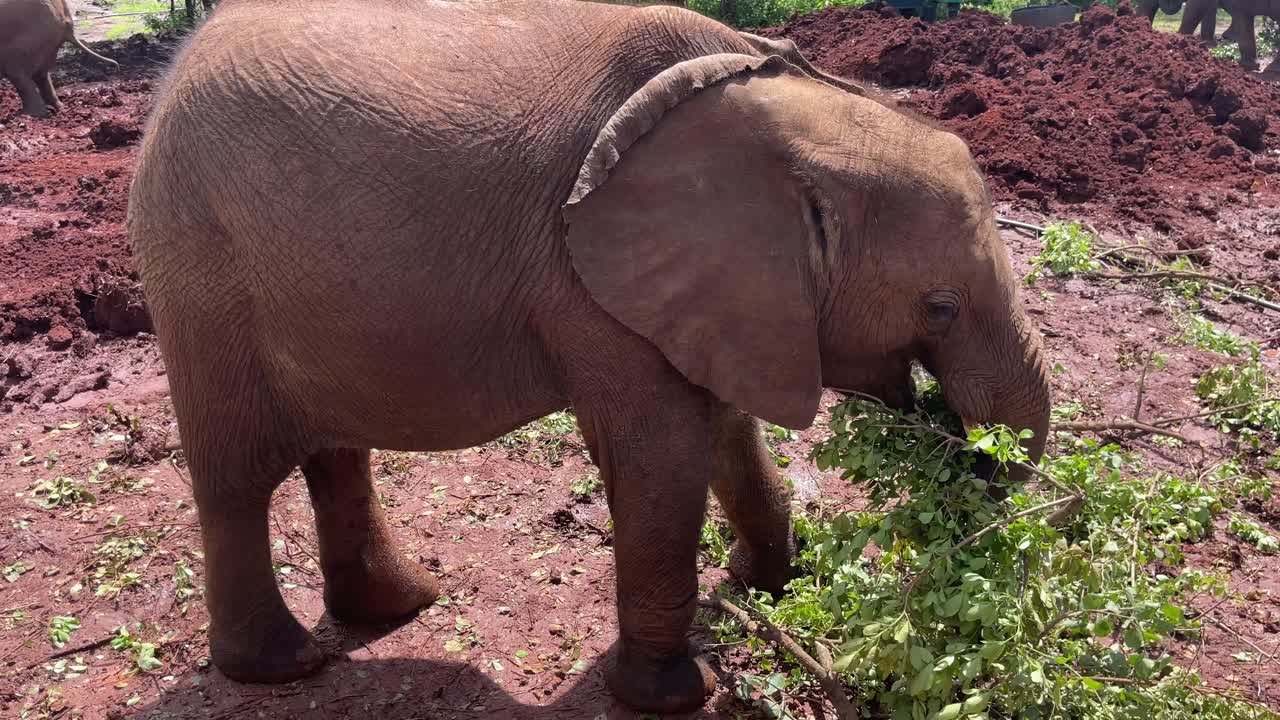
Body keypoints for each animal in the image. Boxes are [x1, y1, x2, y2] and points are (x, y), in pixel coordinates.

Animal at [127, 0, 1052, 712]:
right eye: (940, 308)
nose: (957, 450)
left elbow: (728, 430)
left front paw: (777, 585)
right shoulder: (589, 280)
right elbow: (663, 458)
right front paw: (676, 694)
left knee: (335, 454)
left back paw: (399, 605)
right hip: (201, 273)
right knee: (238, 477)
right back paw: (285, 666)